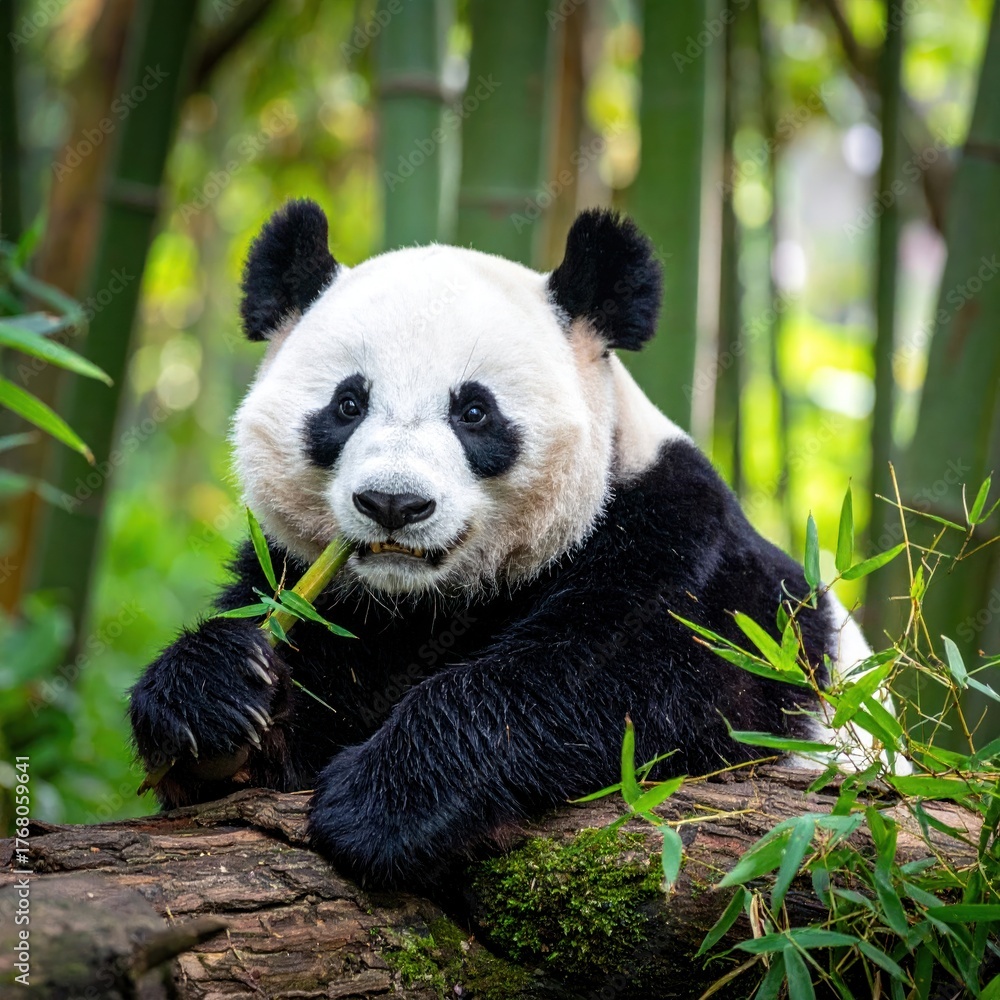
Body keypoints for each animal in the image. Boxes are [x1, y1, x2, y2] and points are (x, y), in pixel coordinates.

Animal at [129, 199, 882, 889]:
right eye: (347, 404)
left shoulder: (686, 561)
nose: (394, 504)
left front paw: (381, 805)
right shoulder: (322, 588)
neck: (426, 598)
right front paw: (213, 700)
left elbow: (607, 682)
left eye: (474, 411)